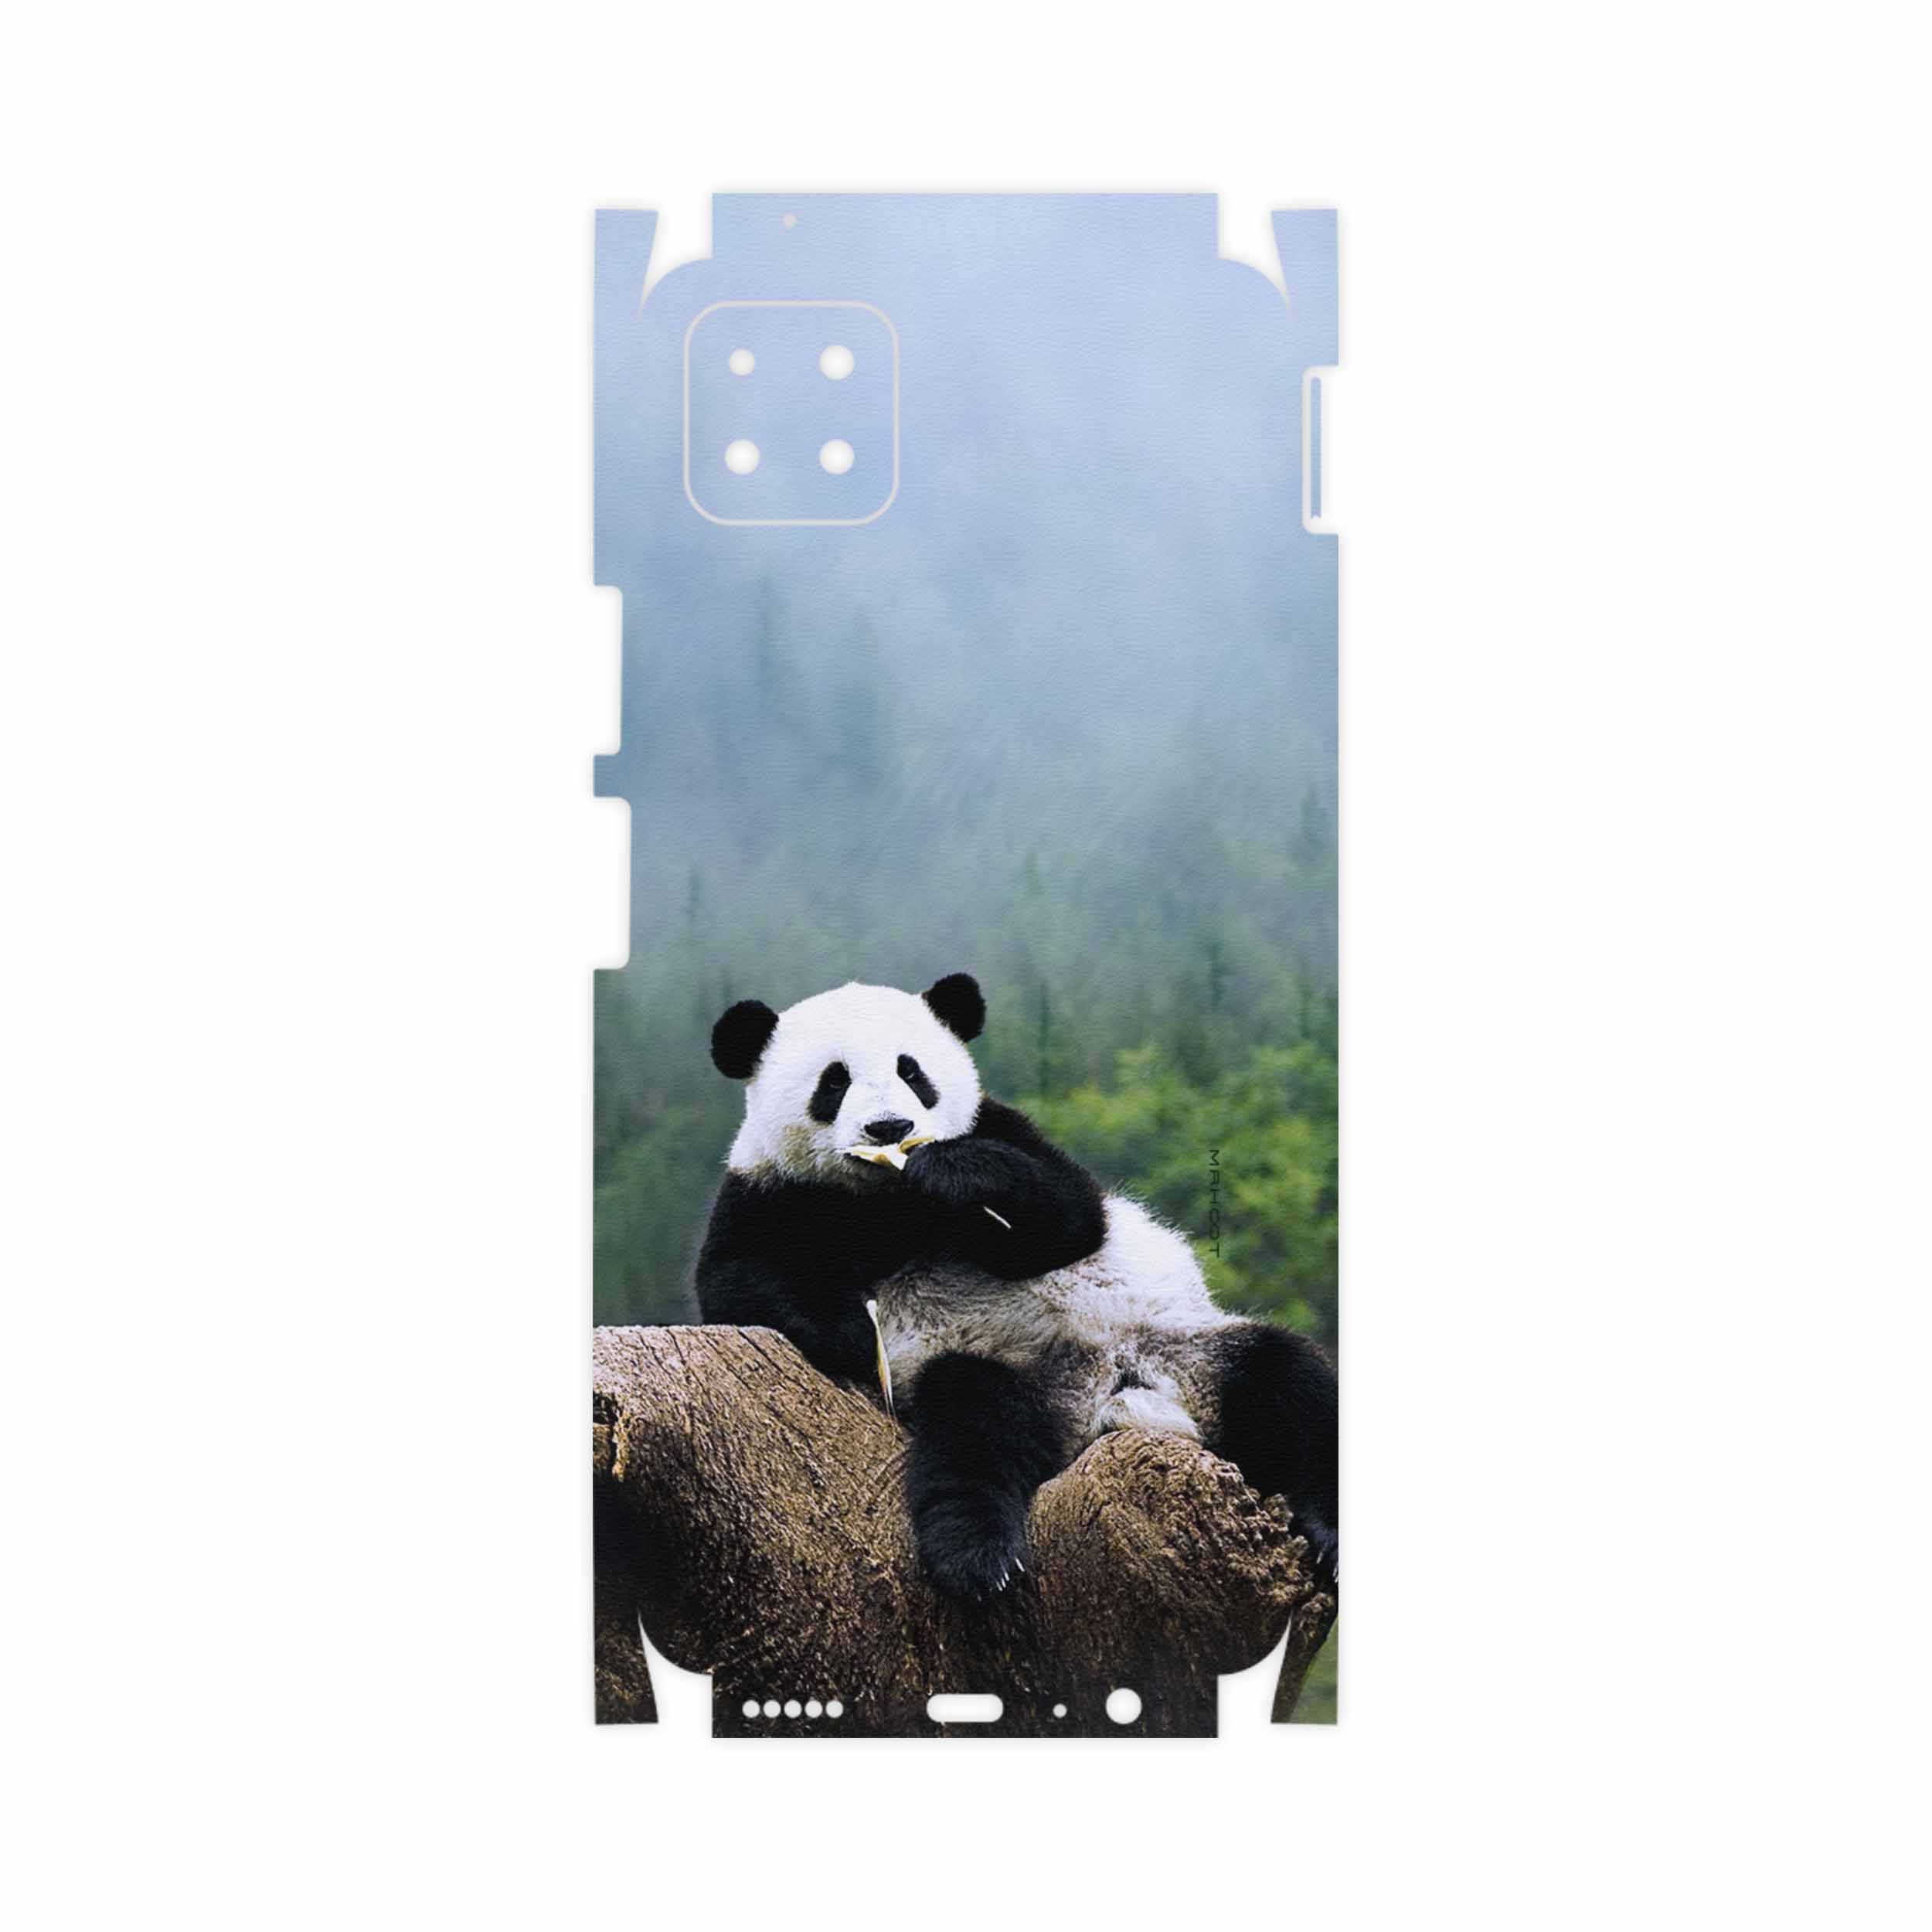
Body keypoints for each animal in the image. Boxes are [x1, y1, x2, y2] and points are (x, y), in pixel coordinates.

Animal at [695, 973, 1338, 1599]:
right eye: (834, 1082)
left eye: (912, 1072)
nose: (890, 1127)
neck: (888, 1199)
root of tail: (1107, 1399)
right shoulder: (770, 1191)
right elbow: (738, 1280)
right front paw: (855, 1333)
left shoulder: (1002, 1128)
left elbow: (1070, 1217)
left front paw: (954, 1174)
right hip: (1007, 1375)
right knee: (974, 1430)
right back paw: (978, 1557)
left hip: (1186, 1350)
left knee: (1291, 1383)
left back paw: (1326, 1533)